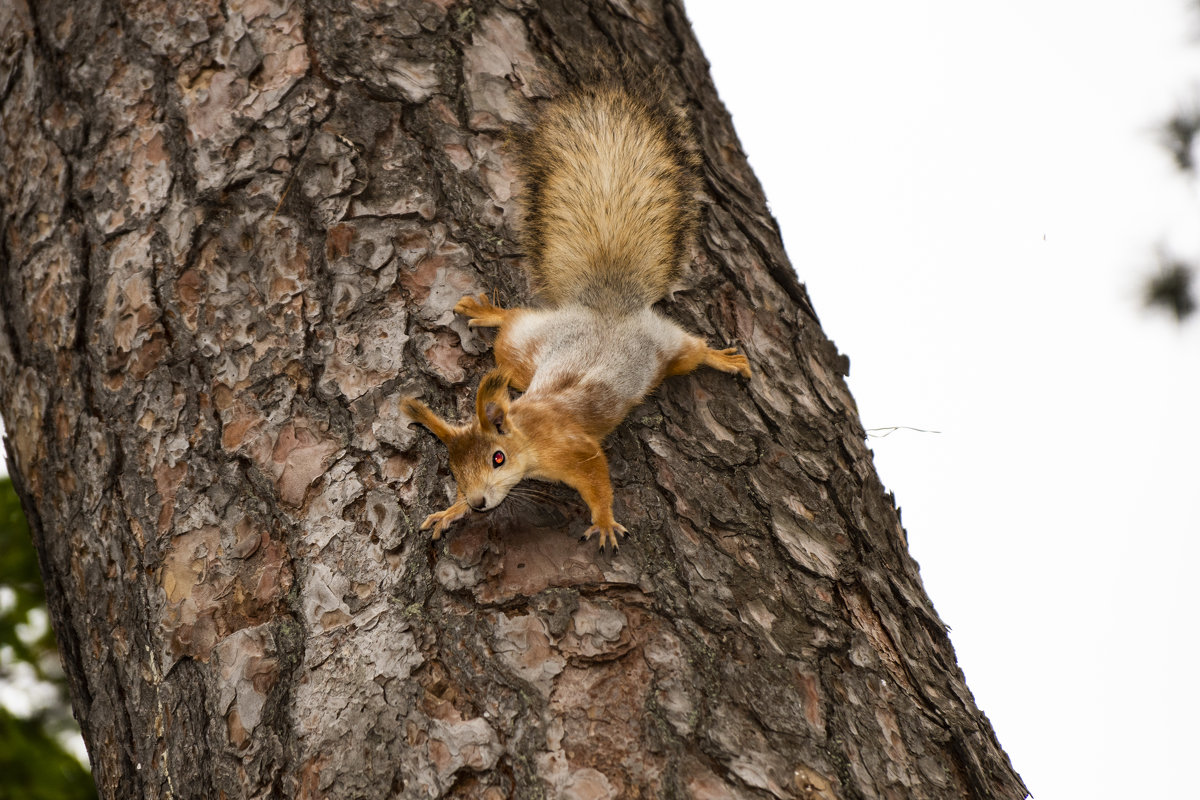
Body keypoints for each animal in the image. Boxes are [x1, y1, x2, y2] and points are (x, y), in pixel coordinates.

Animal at [408, 86, 753, 551]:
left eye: (497, 458)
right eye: (453, 469)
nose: (478, 503)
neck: (530, 434)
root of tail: (607, 308)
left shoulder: (577, 450)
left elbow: (598, 482)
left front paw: (604, 520)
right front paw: (451, 511)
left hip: (666, 346)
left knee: (693, 351)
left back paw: (724, 359)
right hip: (523, 350)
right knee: (514, 324)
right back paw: (489, 313)